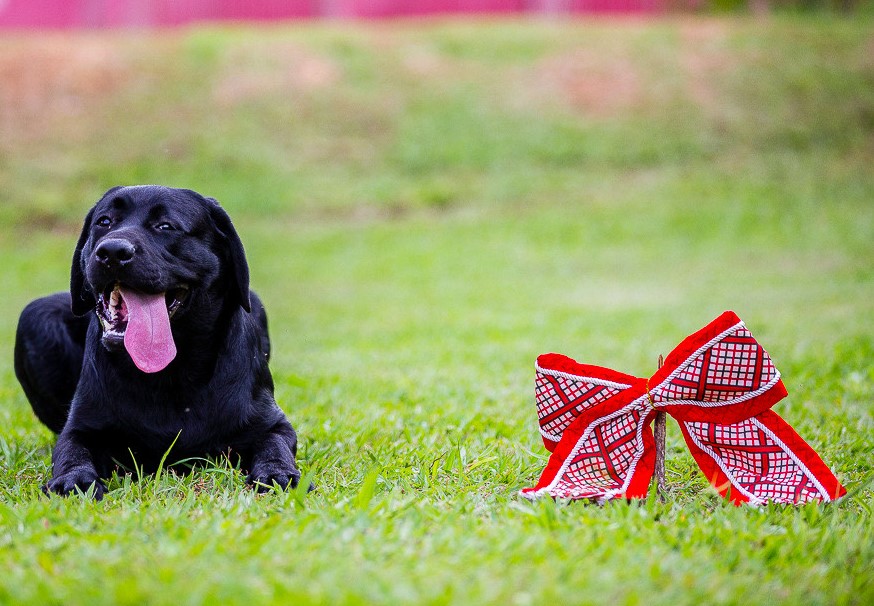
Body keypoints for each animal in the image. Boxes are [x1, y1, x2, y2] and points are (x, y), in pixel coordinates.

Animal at [12, 188, 304, 502]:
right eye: (104, 221)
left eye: (165, 226)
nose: (112, 251)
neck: (170, 374)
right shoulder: (80, 427)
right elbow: (71, 451)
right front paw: (74, 480)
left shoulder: (271, 423)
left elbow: (275, 445)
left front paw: (277, 475)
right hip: (35, 317)